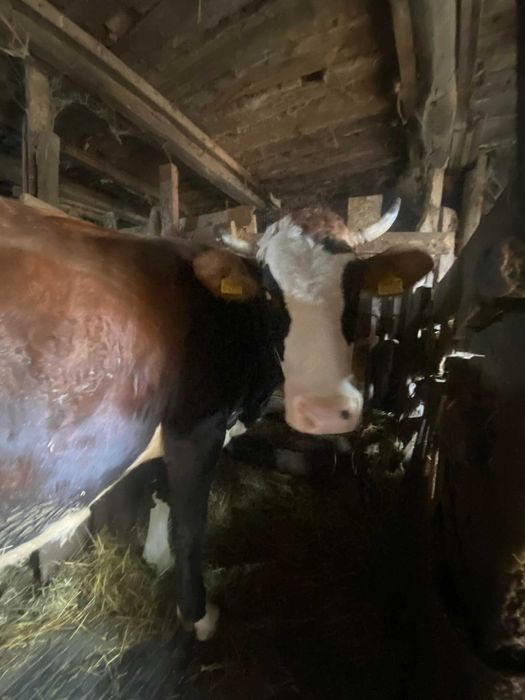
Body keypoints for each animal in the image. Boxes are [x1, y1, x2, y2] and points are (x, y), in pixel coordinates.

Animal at [0, 196, 432, 640]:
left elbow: (161, 491)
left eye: (353, 285)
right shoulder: (197, 426)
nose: (325, 412)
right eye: (269, 292)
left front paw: (157, 557)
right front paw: (197, 614)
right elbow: (190, 523)